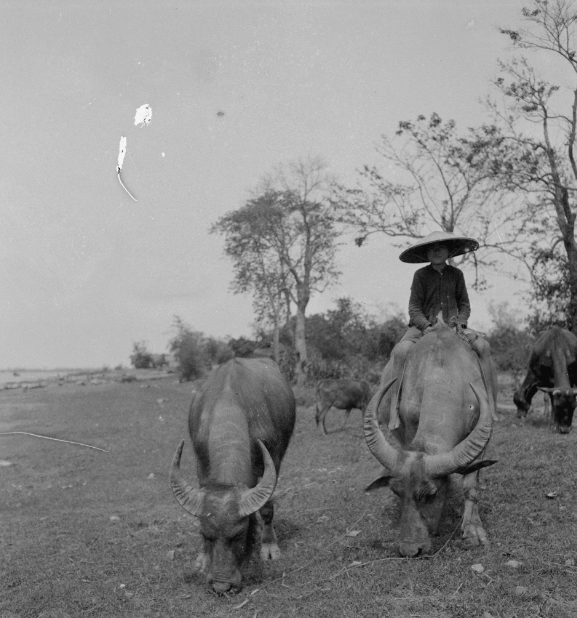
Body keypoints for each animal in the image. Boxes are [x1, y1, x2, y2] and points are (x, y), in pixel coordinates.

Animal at [166, 356, 292, 592]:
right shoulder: (201, 464)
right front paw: (203, 558)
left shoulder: (274, 457)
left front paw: (268, 547)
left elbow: (267, 507)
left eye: (239, 534)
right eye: (205, 534)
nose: (221, 586)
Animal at [364, 324, 496, 556]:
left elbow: (470, 485)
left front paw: (473, 532)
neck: (443, 372)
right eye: (397, 492)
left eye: (431, 495)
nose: (410, 549)